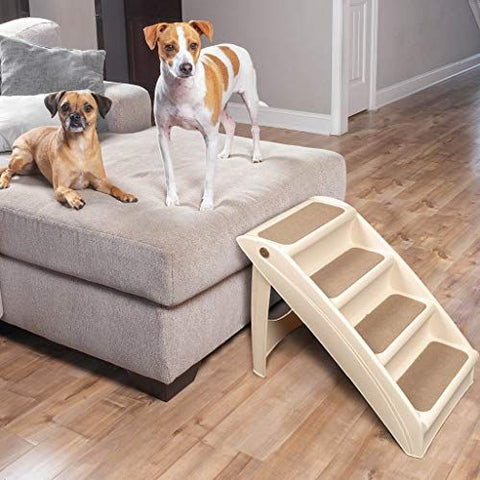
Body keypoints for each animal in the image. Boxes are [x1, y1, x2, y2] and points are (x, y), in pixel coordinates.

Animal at [0, 91, 137, 209]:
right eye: (65, 107)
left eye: (88, 107)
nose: (75, 116)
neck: (80, 144)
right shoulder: (60, 186)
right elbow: (67, 190)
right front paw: (75, 199)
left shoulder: (100, 182)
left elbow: (114, 187)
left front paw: (125, 194)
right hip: (23, 157)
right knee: (7, 171)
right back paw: (3, 181)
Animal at [144, 20, 264, 210]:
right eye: (169, 47)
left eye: (194, 45)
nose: (186, 67)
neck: (182, 91)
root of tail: (234, 47)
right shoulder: (163, 134)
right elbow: (169, 171)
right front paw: (172, 197)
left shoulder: (210, 136)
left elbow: (209, 176)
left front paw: (207, 203)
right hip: (221, 108)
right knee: (230, 124)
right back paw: (226, 152)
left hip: (250, 98)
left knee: (255, 128)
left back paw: (256, 155)